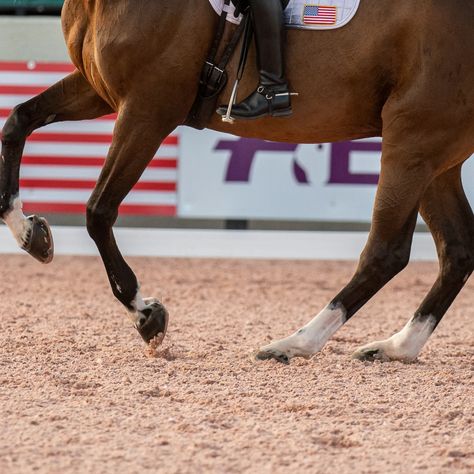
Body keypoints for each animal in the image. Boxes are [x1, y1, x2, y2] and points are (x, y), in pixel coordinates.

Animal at [0, 0, 474, 362]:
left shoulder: (147, 109)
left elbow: (98, 211)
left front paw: (146, 314)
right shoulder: (99, 89)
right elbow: (18, 120)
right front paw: (29, 234)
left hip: (411, 142)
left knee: (385, 252)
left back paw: (296, 343)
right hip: (435, 160)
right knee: (456, 250)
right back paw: (397, 347)